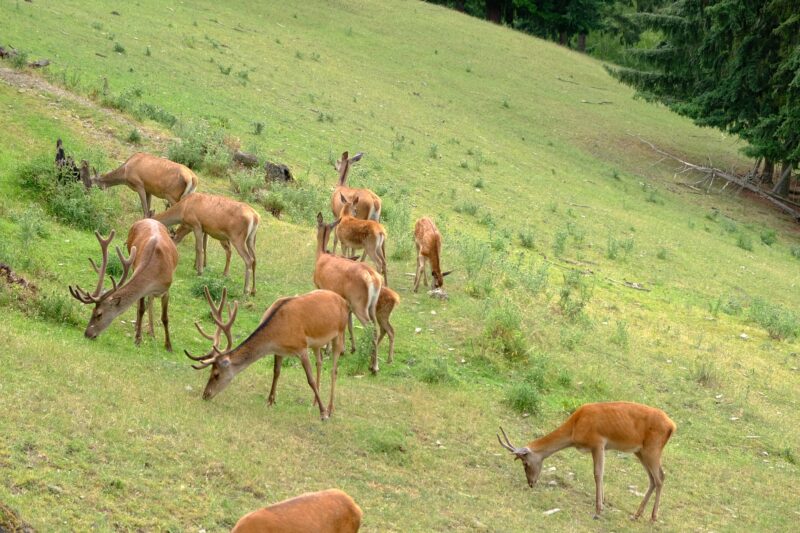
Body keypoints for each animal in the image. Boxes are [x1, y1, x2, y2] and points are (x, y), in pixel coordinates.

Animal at [68, 219, 178, 350]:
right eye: (92, 311)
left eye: (99, 314)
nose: (87, 334)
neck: (156, 272)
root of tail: (148, 219)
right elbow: (141, 309)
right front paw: (138, 339)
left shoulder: (166, 289)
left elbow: (165, 318)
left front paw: (168, 346)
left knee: (151, 301)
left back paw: (152, 332)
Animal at [189, 286, 352, 420]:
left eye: (216, 374)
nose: (205, 395)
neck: (277, 334)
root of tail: (344, 301)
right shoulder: (279, 351)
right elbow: (276, 372)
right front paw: (270, 401)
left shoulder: (301, 347)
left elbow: (309, 380)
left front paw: (323, 413)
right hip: (316, 343)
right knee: (319, 362)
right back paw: (313, 402)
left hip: (340, 332)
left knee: (334, 370)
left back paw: (330, 408)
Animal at [312, 213, 384, 374]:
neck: (321, 256)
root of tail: (374, 278)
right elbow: (347, 324)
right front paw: (346, 349)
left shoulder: (321, 287)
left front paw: (328, 350)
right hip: (371, 305)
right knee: (375, 326)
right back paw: (372, 364)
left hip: (359, 304)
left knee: (371, 329)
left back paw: (374, 367)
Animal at [500, 400, 676, 520]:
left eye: (525, 463)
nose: (531, 483)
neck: (575, 426)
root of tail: (672, 426)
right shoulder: (601, 446)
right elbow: (601, 473)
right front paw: (602, 504)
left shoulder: (597, 443)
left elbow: (598, 474)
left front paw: (598, 511)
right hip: (640, 452)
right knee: (653, 479)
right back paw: (636, 515)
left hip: (652, 450)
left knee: (660, 477)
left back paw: (653, 517)